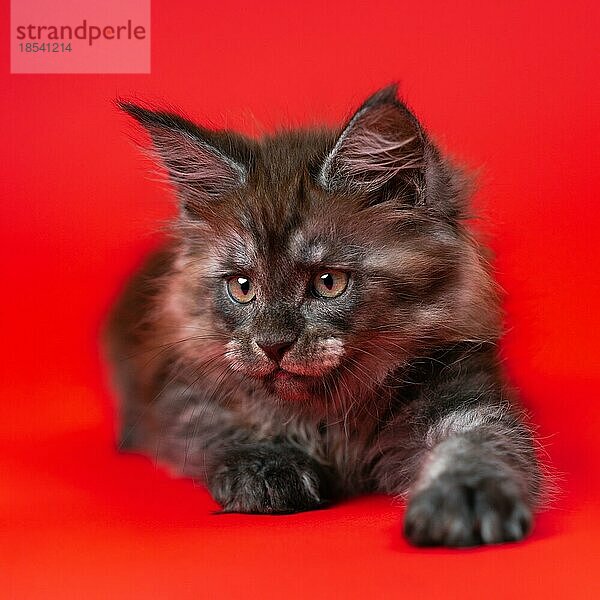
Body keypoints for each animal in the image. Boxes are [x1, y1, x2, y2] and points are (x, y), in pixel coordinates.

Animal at [105, 85, 540, 548]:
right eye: (242, 286)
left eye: (329, 282)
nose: (272, 344)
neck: (328, 414)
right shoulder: (179, 396)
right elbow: (219, 426)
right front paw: (269, 470)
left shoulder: (464, 385)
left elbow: (478, 439)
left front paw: (465, 495)